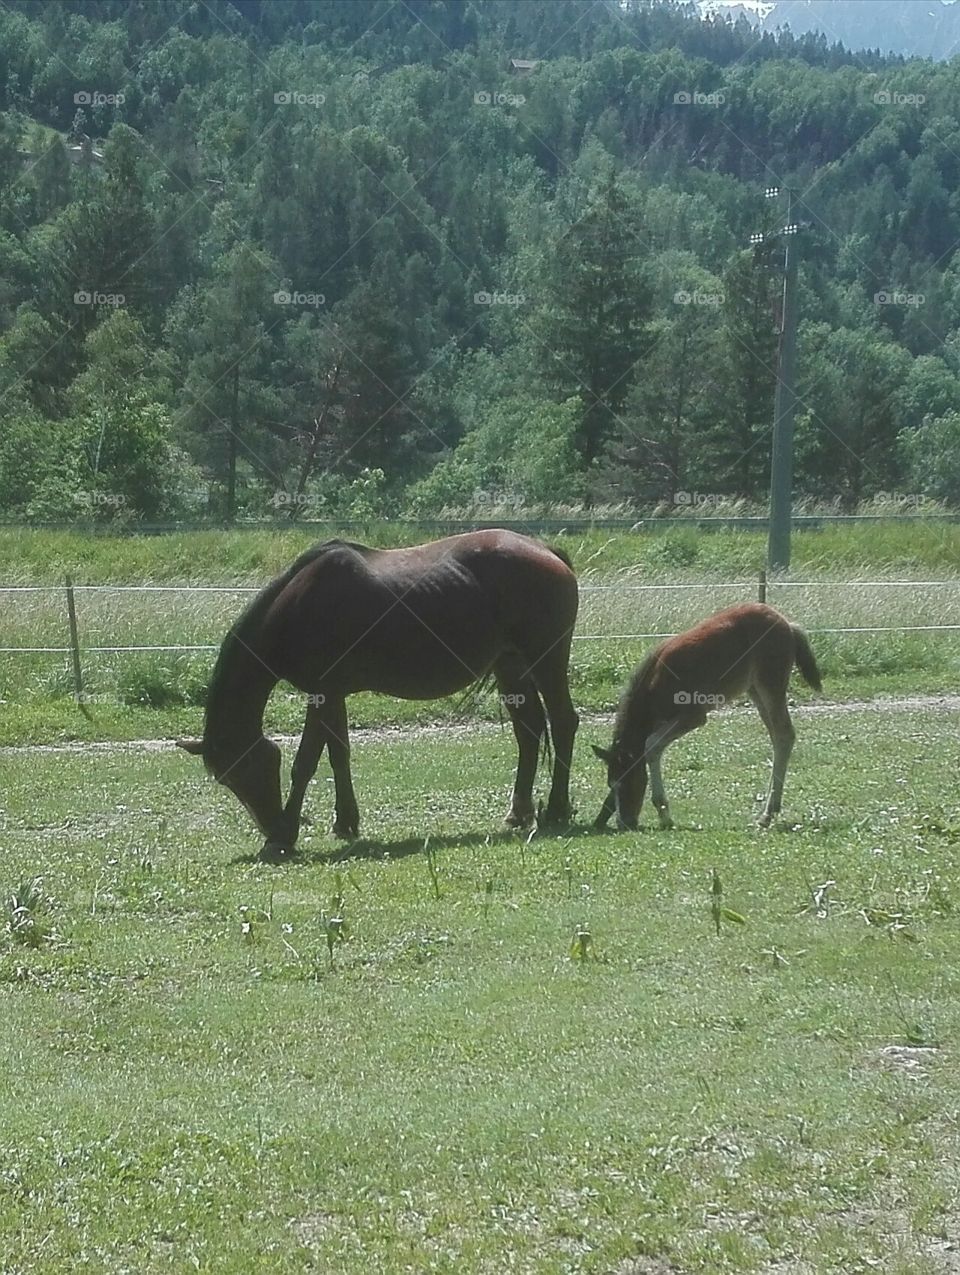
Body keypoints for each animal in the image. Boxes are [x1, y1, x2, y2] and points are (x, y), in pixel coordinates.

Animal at [177, 531, 579, 859]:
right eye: (227, 779)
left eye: (245, 768)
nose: (269, 826)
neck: (297, 606)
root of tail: (548, 551)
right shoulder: (332, 694)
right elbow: (338, 754)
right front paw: (345, 822)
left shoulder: (322, 692)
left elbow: (306, 762)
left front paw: (286, 834)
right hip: (510, 667)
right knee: (529, 731)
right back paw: (520, 811)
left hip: (545, 662)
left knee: (563, 723)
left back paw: (557, 808)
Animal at [592, 602, 822, 831]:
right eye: (611, 784)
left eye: (627, 782)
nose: (625, 823)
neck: (654, 683)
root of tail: (787, 623)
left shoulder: (693, 716)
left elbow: (651, 745)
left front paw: (664, 814)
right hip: (755, 690)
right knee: (777, 736)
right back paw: (769, 809)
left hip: (770, 684)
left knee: (784, 734)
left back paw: (767, 814)